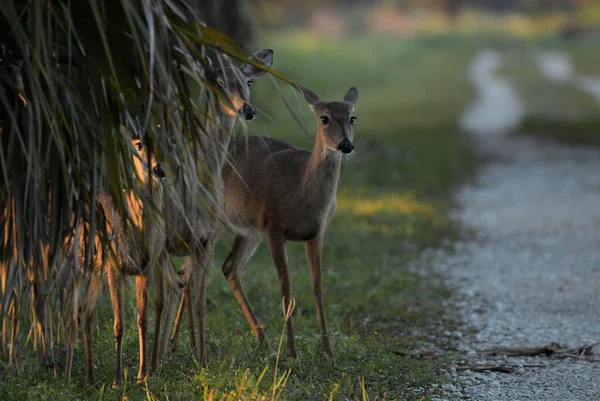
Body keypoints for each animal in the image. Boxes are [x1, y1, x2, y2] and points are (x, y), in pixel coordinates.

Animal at [62, 130, 169, 386]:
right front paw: (117, 380)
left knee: (86, 314)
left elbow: (142, 319)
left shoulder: (145, 268)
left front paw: (141, 375)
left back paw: (90, 378)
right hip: (74, 266)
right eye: (139, 145)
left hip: (95, 274)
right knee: (71, 316)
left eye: (165, 140)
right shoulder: (114, 267)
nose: (158, 168)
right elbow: (118, 324)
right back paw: (68, 378)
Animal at [150, 48, 274, 368]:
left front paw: (202, 359)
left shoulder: (207, 240)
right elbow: (164, 297)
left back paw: (178, 347)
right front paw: (157, 362)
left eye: (248, 82)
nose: (247, 110)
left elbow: (200, 301)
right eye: (216, 82)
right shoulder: (165, 241)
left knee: (182, 286)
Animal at [219, 85, 360, 360]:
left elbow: (318, 287)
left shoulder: (317, 232)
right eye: (324, 118)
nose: (346, 145)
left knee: (229, 267)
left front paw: (328, 352)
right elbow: (286, 289)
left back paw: (262, 340)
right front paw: (292, 352)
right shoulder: (273, 227)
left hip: (248, 232)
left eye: (352, 118)